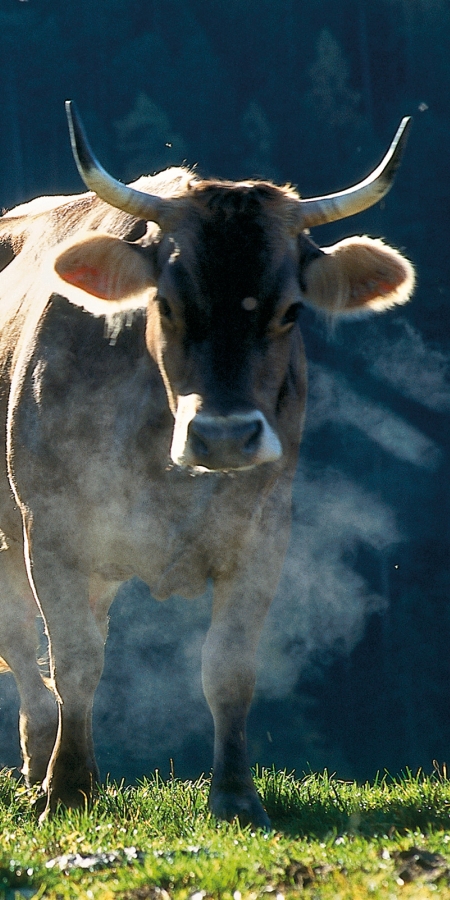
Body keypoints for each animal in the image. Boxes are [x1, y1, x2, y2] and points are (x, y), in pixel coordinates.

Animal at [0, 102, 414, 828]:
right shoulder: (49, 526)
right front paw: (68, 789)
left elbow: (228, 668)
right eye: (165, 303)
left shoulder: (263, 534)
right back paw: (39, 768)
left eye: (291, 310)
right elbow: (73, 658)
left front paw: (236, 796)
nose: (224, 437)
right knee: (26, 645)